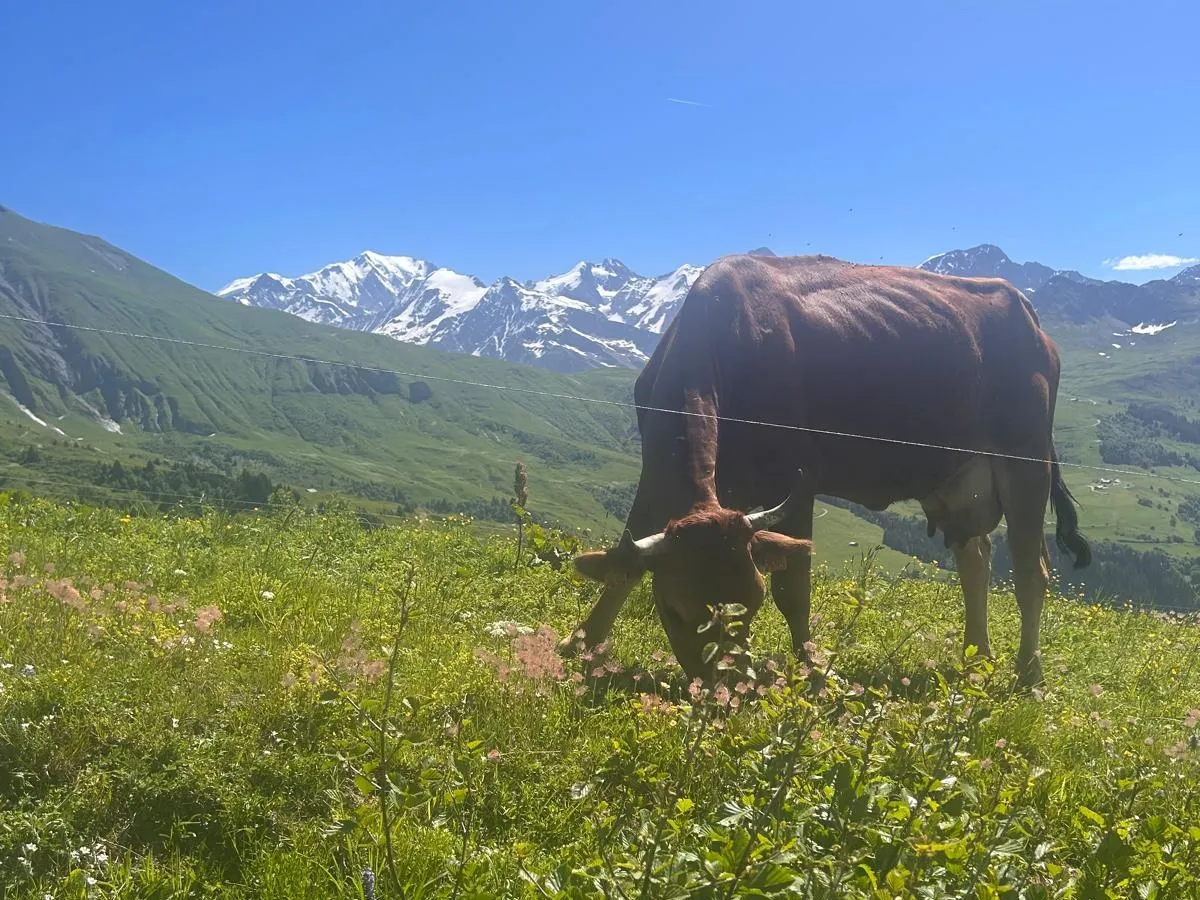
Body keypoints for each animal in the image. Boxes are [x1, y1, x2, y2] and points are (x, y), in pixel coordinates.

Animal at [562, 253, 1090, 688]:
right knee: (975, 561)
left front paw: (812, 672)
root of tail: (1029, 315)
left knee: (1030, 570)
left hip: (1026, 461)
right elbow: (623, 563)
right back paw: (975, 659)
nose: (724, 691)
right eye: (673, 611)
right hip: (957, 479)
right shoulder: (654, 476)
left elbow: (794, 589)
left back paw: (1028, 674)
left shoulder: (795, 483)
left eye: (751, 604)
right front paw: (580, 647)